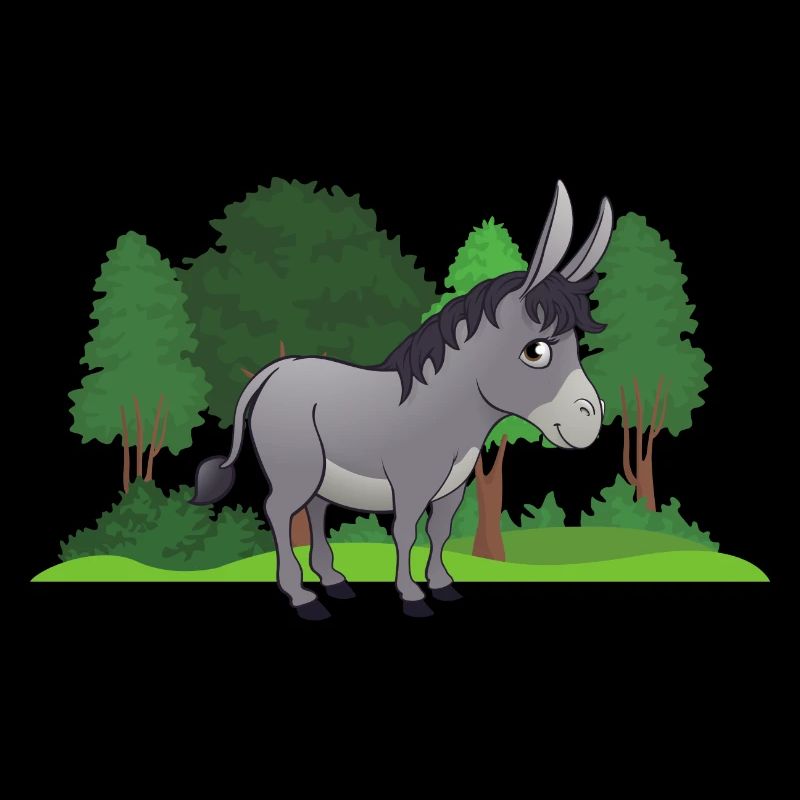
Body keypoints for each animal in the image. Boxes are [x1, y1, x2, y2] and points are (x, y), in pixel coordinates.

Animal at [191, 181, 612, 619]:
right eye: (536, 351)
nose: (591, 420)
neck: (448, 410)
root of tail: (276, 369)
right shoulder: (411, 484)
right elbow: (406, 532)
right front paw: (412, 596)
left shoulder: (452, 488)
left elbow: (439, 530)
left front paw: (443, 585)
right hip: (296, 469)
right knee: (278, 511)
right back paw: (302, 597)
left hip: (322, 474)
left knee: (315, 510)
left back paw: (333, 581)